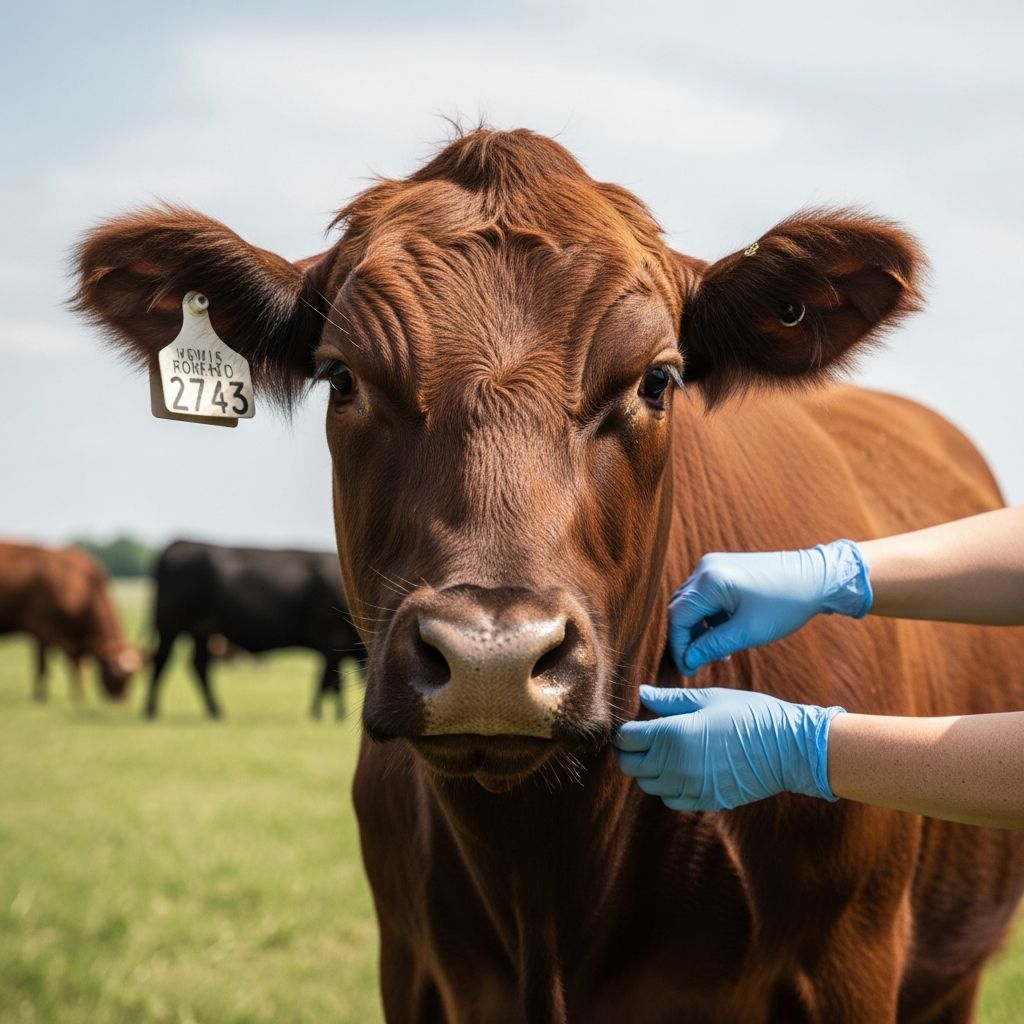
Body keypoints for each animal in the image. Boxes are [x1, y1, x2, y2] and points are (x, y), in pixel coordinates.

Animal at [0, 541, 141, 701]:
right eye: (114, 675)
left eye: (133, 677)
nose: (121, 699)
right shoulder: (42, 632)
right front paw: (40, 698)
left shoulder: (72, 643)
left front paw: (79, 698)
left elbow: (76, 667)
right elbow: (42, 668)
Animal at [147, 540, 364, 719]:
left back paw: (215, 711)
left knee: (199, 665)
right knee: (161, 660)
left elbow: (329, 681)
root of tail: (181, 543)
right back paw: (151, 711)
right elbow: (329, 682)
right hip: (169, 626)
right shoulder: (332, 642)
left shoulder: (334, 649)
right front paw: (325, 714)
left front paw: (328, 714)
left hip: (201, 631)